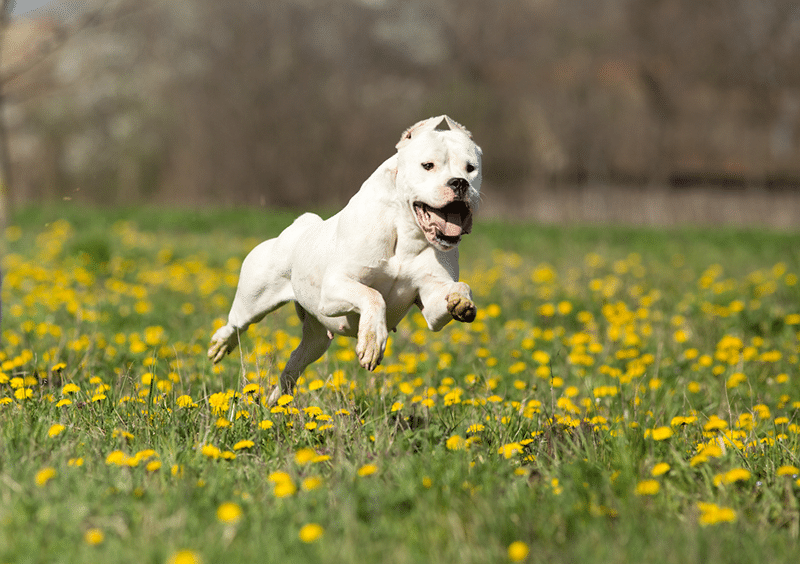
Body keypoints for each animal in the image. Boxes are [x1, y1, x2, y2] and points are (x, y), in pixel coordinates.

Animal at [208, 115, 482, 406]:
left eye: (471, 168)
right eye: (428, 165)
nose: (459, 182)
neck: (406, 229)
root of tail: (297, 227)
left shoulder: (431, 305)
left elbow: (457, 289)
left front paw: (461, 302)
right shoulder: (334, 289)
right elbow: (374, 296)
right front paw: (372, 342)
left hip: (316, 340)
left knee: (295, 361)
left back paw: (277, 400)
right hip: (254, 301)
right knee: (236, 324)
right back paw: (220, 346)